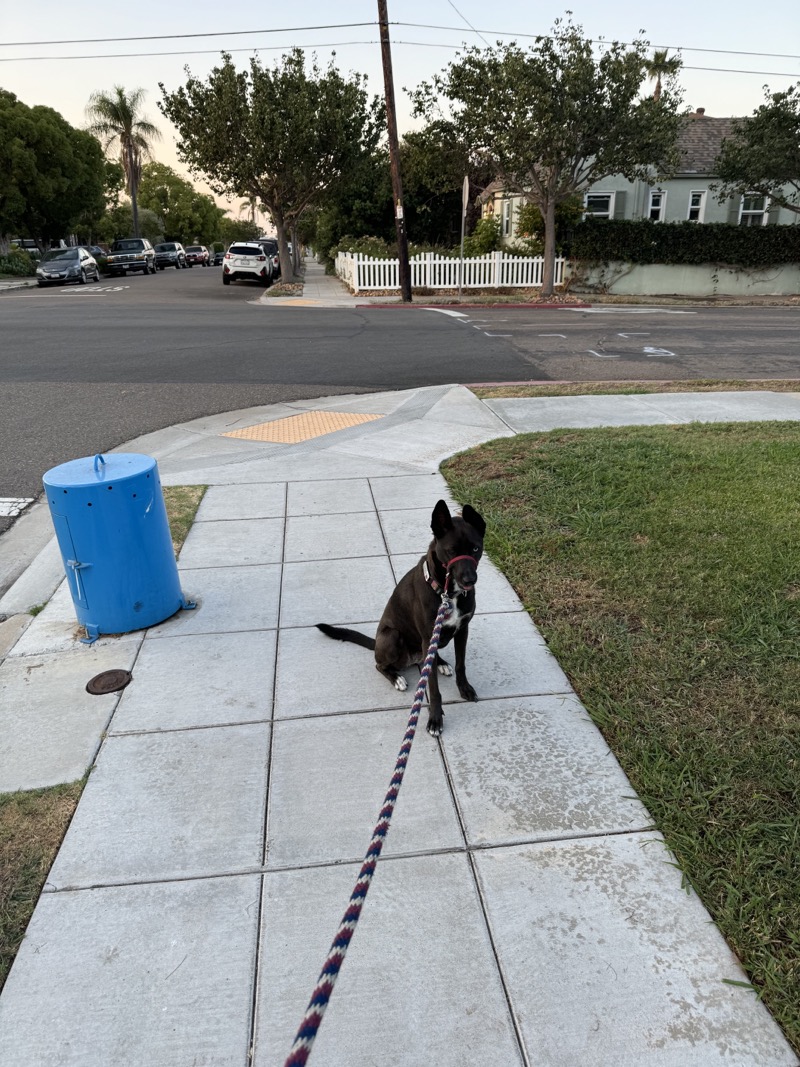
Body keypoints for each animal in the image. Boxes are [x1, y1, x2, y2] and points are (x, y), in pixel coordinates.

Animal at [315, 497, 486, 734]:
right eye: (451, 551)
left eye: (476, 548)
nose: (470, 580)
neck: (447, 594)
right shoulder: (429, 636)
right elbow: (433, 688)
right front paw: (435, 719)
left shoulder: (463, 630)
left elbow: (461, 665)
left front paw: (465, 688)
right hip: (392, 636)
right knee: (380, 665)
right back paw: (396, 678)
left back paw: (441, 663)